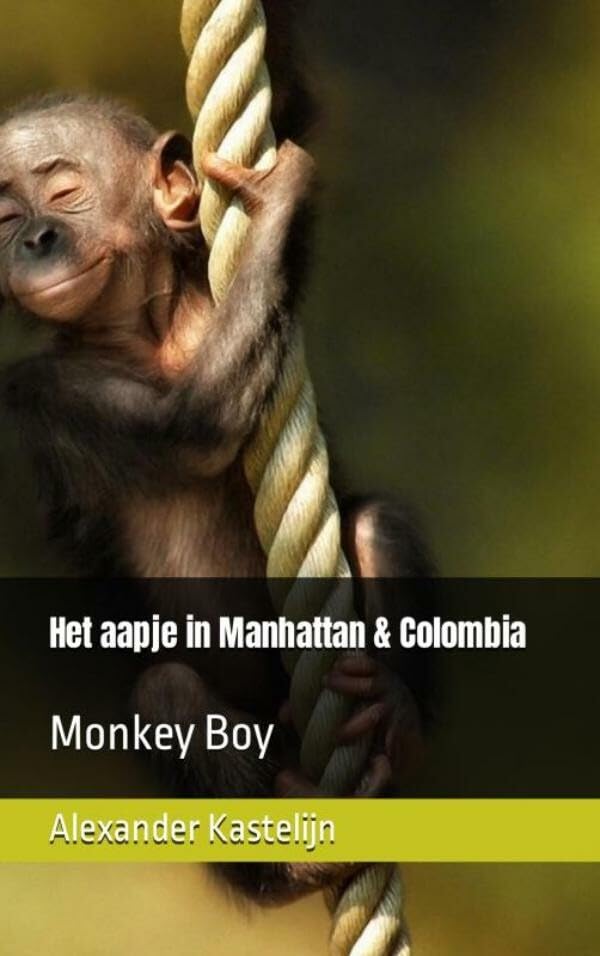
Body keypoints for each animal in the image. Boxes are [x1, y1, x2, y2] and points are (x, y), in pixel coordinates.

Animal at [0, 88, 432, 904]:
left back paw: (395, 705)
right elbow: (190, 425)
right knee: (167, 696)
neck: (146, 330)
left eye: (64, 192)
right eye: (3, 217)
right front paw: (276, 202)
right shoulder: (43, 394)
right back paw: (297, 859)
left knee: (375, 524)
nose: (35, 237)